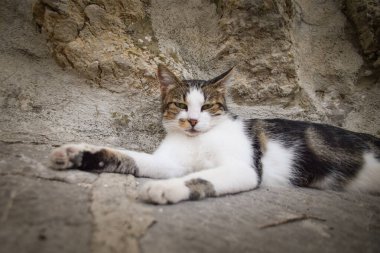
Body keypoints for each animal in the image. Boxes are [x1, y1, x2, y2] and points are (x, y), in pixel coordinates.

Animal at [49, 63, 380, 204]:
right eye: (181, 104)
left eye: (207, 106)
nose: (193, 121)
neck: (198, 140)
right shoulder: (171, 162)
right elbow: (131, 157)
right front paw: (80, 153)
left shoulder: (244, 168)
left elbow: (201, 177)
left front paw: (167, 188)